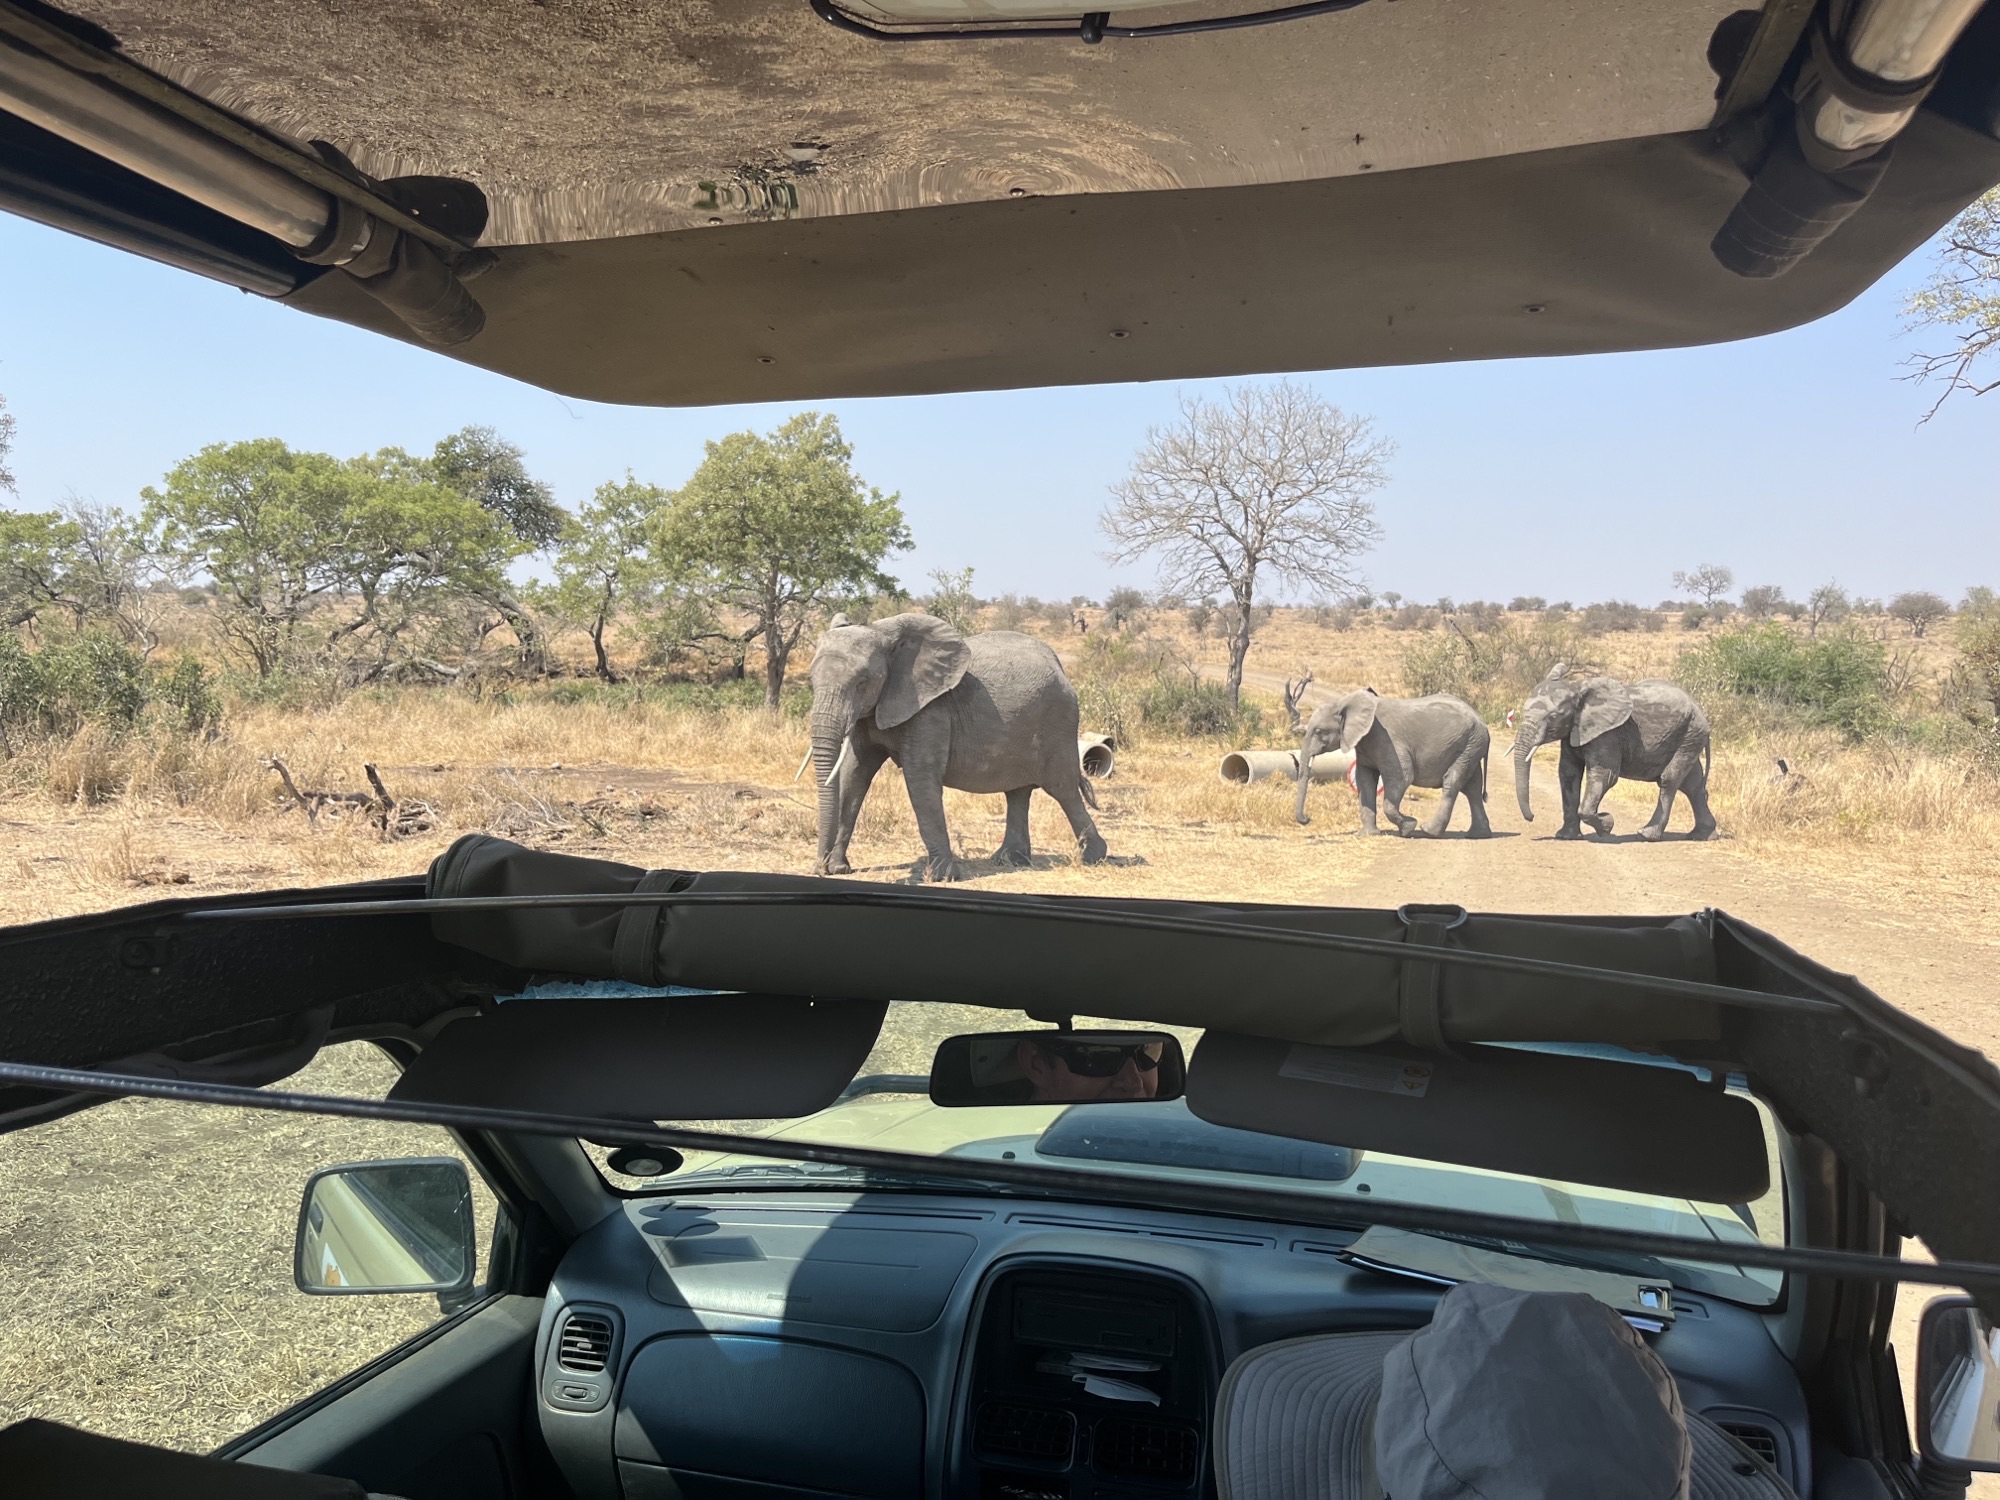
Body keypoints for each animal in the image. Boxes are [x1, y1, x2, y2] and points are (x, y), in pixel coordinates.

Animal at [807, 612, 1108, 882]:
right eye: (811, 680)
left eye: (862, 683)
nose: (818, 869)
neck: (882, 633)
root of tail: (1059, 665)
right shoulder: (873, 711)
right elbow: (854, 775)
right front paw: (838, 869)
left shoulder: (930, 709)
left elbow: (919, 778)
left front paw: (942, 877)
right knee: (1018, 792)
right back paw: (1010, 860)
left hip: (1058, 722)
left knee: (1062, 789)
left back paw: (1093, 858)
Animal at [1293, 689, 1493, 837]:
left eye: (1318, 731)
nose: (1308, 818)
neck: (1345, 702)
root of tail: (1482, 722)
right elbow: (1365, 780)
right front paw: (1367, 834)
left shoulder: (1387, 739)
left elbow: (1401, 777)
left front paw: (1409, 826)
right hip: (1471, 746)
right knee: (1473, 789)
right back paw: (1478, 835)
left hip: (1470, 743)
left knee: (1452, 782)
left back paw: (1428, 831)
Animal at [1510, 665, 1717, 841]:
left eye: (1553, 717)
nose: (1532, 817)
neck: (1577, 687)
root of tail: (1699, 708)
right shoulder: (1574, 731)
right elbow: (1568, 773)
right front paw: (1566, 836)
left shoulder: (1608, 734)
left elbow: (1605, 775)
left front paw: (1607, 825)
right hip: (1689, 737)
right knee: (1692, 785)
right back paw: (1703, 836)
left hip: (1690, 734)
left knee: (1669, 780)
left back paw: (1646, 834)